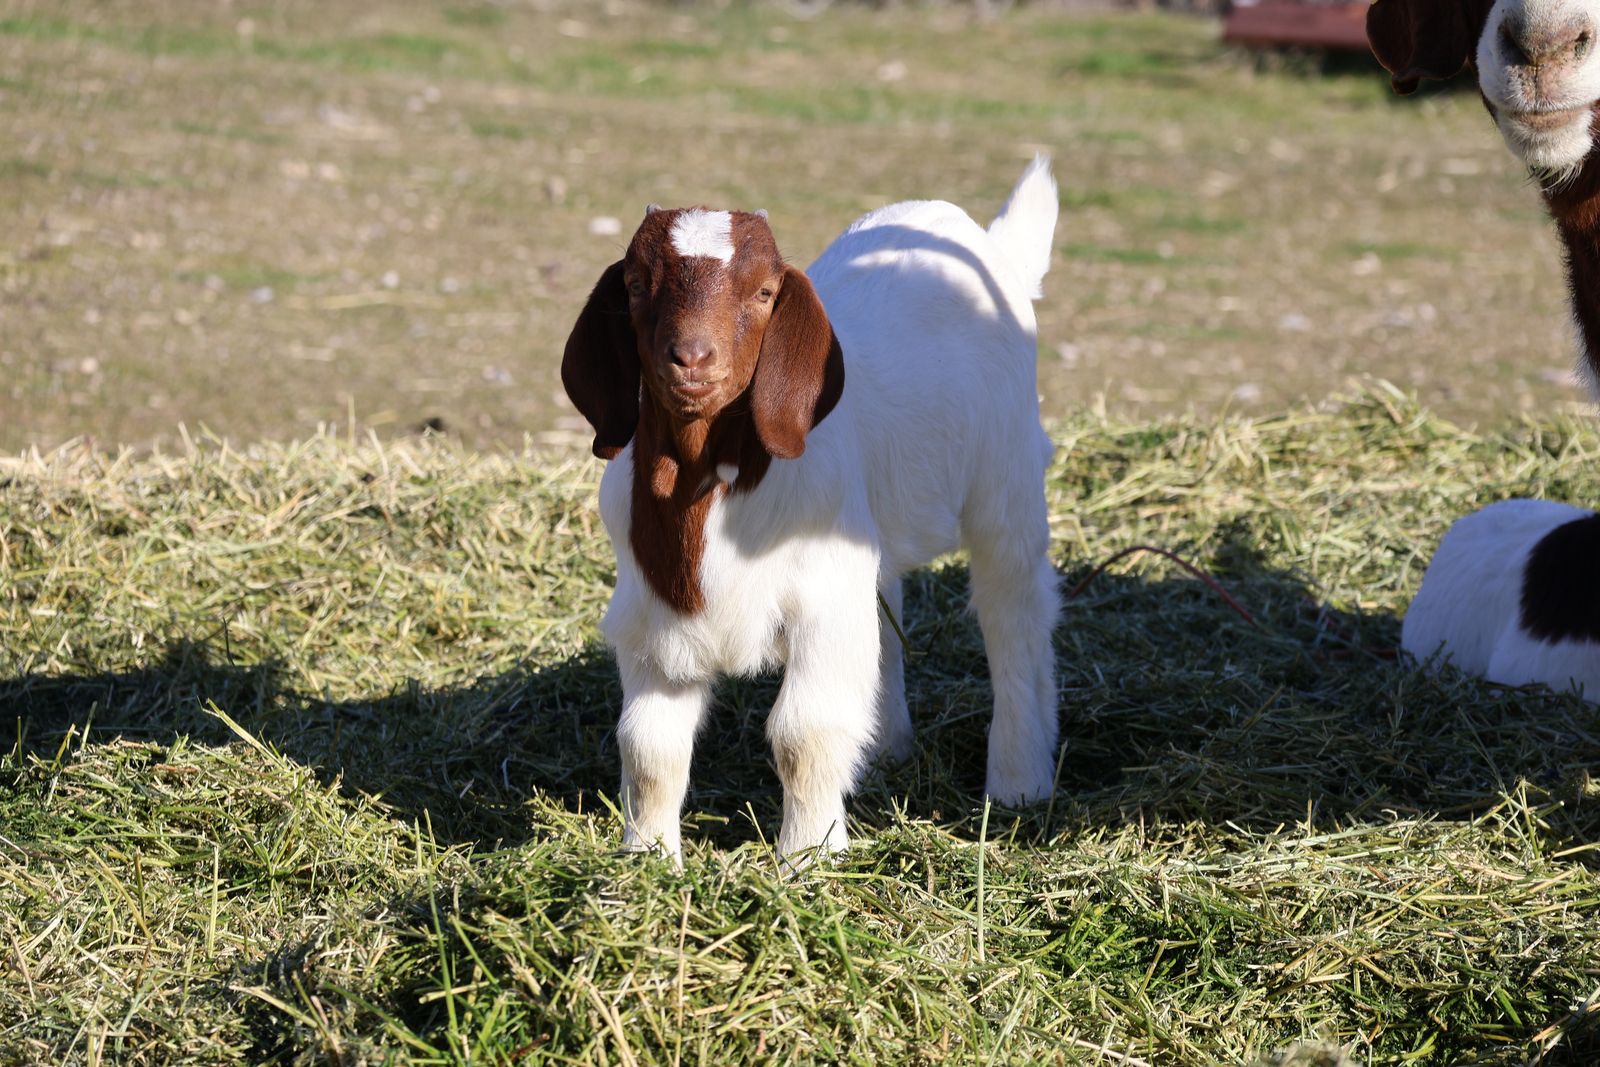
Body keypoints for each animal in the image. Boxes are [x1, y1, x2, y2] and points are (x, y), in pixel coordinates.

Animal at [560, 157, 1062, 864]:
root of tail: (985, 243)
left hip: (1007, 474)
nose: (691, 359)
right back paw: (884, 752)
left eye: (765, 291)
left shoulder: (820, 602)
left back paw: (1020, 781)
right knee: (889, 615)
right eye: (633, 284)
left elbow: (804, 734)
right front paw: (647, 863)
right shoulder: (651, 619)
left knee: (1013, 608)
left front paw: (808, 859)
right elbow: (648, 748)